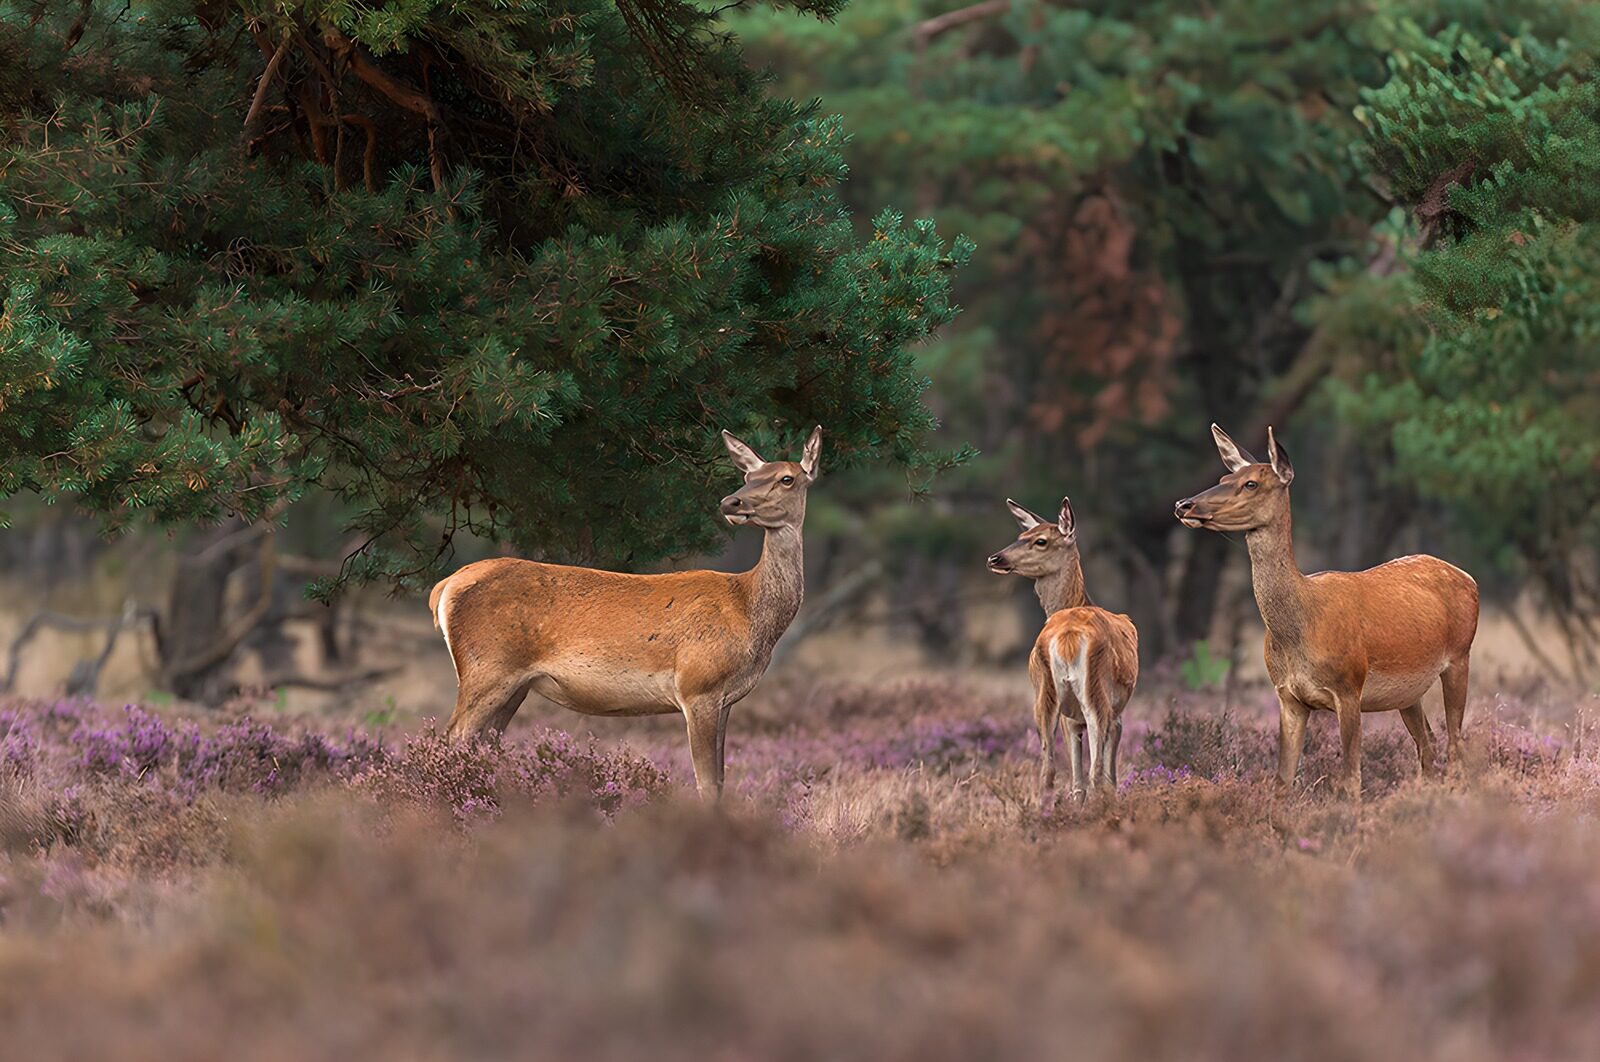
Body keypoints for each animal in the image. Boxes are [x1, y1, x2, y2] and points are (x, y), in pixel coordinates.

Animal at [427, 426, 822, 801]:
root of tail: (444, 587)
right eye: (748, 476)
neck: (749, 611)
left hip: (514, 685)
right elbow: (707, 784)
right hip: (487, 668)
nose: (731, 502)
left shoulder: (725, 699)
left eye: (786, 478)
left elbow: (721, 781)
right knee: (452, 739)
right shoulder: (697, 686)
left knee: (481, 744)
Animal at [987, 496, 1139, 807]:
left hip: (1043, 693)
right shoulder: (1115, 715)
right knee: (1095, 774)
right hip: (1095, 695)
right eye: (1020, 536)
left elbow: (1075, 780)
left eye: (1040, 540)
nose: (995, 558)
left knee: (1048, 772)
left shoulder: (1071, 718)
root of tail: (1068, 637)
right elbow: (1108, 778)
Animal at [1174, 424, 1479, 799]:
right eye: (1223, 476)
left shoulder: (1348, 687)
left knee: (1455, 745)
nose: (1184, 504)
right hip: (1409, 692)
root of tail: (1470, 579)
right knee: (1428, 745)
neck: (1301, 627)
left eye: (1251, 483)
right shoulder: (1287, 696)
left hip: (1460, 656)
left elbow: (1351, 779)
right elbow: (1282, 781)